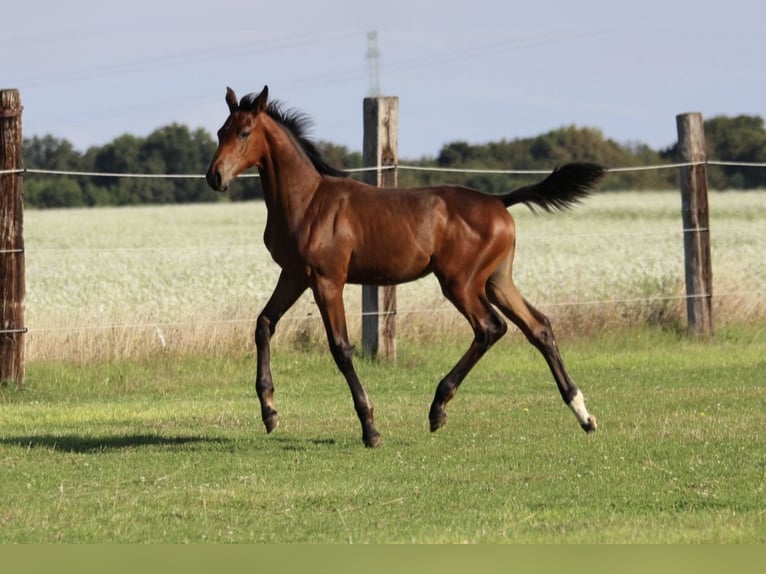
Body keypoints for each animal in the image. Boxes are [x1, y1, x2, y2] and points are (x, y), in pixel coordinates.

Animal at [206, 85, 606, 447]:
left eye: (244, 132)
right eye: (221, 131)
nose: (215, 176)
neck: (307, 201)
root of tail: (499, 201)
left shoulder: (327, 280)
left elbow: (341, 347)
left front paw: (370, 428)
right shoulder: (293, 275)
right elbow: (263, 324)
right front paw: (270, 412)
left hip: (461, 283)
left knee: (490, 328)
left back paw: (438, 408)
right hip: (496, 280)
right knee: (538, 327)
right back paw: (583, 414)